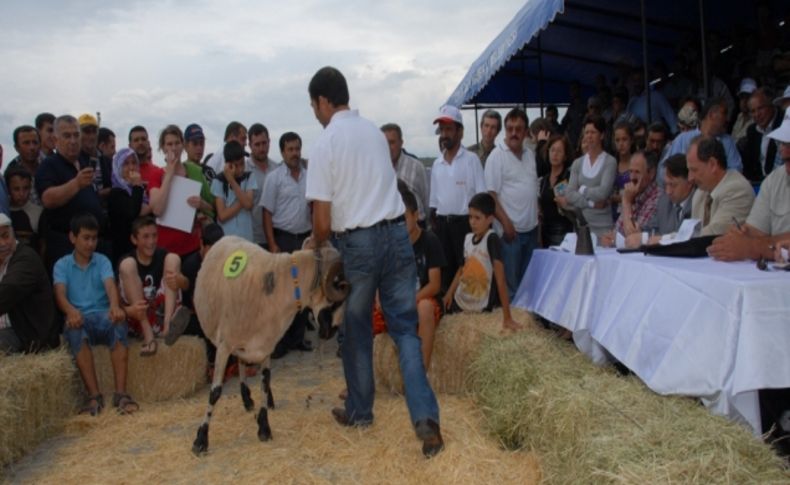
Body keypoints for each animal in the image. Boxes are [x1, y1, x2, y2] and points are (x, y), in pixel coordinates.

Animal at [191, 234, 346, 454]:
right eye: (338, 298)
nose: (331, 331)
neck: (282, 285)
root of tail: (228, 236)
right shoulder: (224, 346)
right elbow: (215, 392)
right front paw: (201, 439)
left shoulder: (265, 346)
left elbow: (264, 383)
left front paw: (264, 427)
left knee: (243, 364)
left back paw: (250, 399)